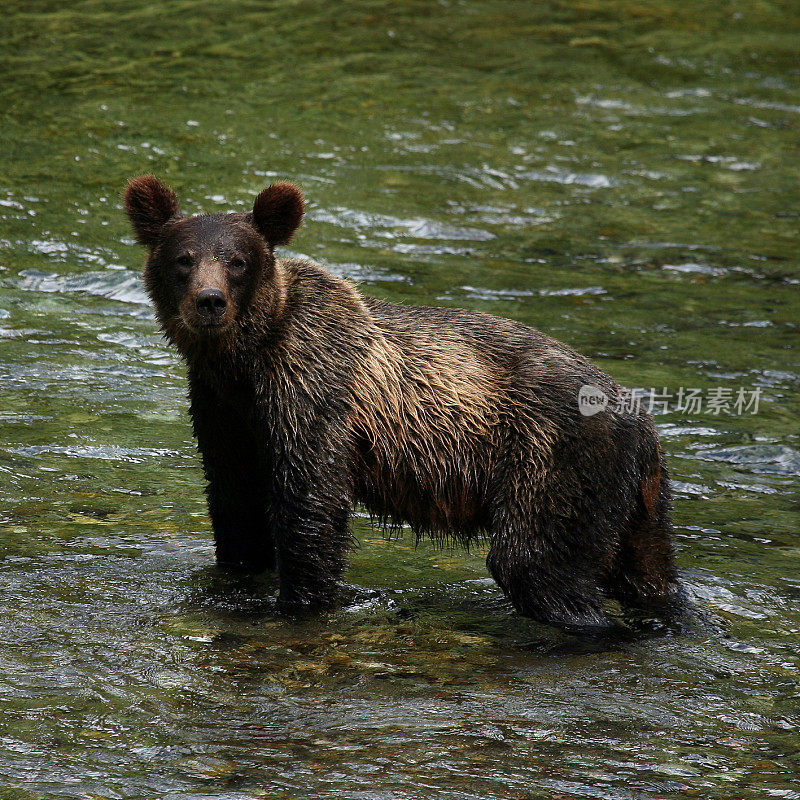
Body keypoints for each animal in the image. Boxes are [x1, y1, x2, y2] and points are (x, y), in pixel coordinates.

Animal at [122, 173, 680, 632]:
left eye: (237, 261)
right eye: (183, 260)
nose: (209, 301)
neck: (245, 360)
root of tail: (643, 422)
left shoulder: (313, 389)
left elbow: (310, 504)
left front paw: (298, 604)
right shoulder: (223, 409)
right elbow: (235, 499)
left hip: (552, 457)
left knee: (536, 560)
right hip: (635, 502)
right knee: (647, 569)